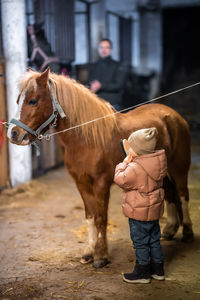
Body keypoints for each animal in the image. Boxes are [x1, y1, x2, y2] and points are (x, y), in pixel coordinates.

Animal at [7, 69, 194, 268]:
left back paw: (188, 232)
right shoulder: (81, 183)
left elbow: (101, 218)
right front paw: (89, 252)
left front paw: (101, 256)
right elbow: (90, 216)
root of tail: (172, 115)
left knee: (183, 195)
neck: (87, 139)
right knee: (170, 194)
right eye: (18, 100)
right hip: (160, 173)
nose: (13, 134)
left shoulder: (101, 183)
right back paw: (170, 230)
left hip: (179, 167)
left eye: (33, 100)